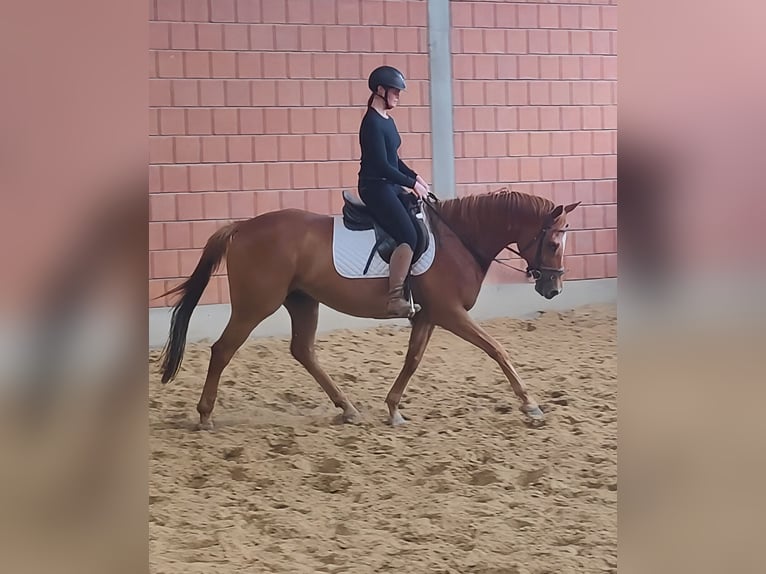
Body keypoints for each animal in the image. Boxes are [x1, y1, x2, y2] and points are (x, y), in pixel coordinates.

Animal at [157, 187, 580, 429]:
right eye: (553, 243)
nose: (553, 288)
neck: (458, 239)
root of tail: (242, 227)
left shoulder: (429, 315)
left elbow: (413, 359)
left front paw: (393, 408)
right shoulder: (450, 313)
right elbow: (497, 350)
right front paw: (530, 405)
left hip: (302, 301)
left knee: (303, 351)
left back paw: (347, 408)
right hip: (256, 304)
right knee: (223, 350)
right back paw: (205, 415)